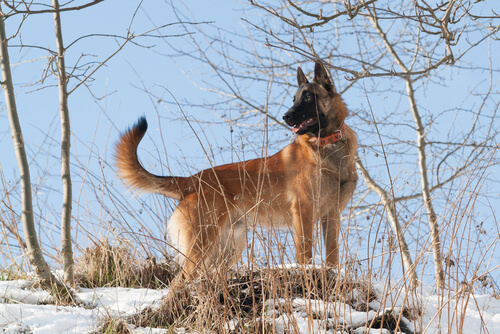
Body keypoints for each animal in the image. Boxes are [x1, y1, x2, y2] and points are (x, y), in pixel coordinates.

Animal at [115, 61, 358, 280]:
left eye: (308, 97)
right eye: (294, 99)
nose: (286, 116)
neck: (328, 144)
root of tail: (191, 180)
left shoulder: (332, 216)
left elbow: (332, 254)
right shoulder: (304, 214)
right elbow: (305, 255)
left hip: (226, 250)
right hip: (201, 247)